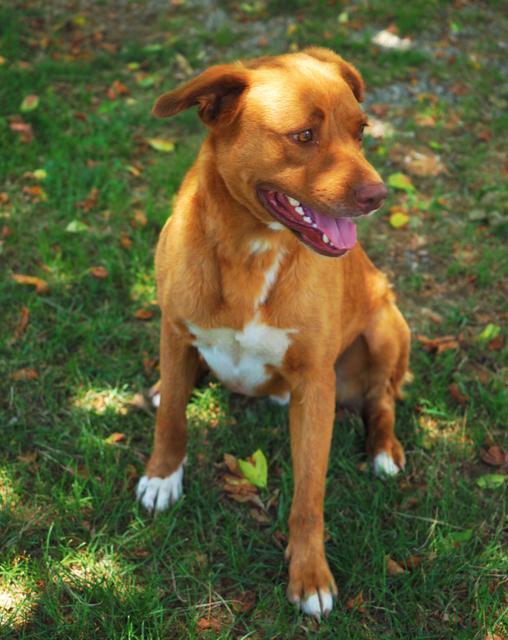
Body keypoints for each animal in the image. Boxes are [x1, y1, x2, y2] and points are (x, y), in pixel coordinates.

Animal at [137, 48, 410, 620]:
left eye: (361, 130)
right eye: (304, 135)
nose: (379, 196)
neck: (250, 247)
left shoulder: (314, 384)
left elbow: (309, 496)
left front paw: (309, 575)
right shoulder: (174, 331)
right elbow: (172, 419)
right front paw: (162, 476)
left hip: (387, 322)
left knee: (383, 397)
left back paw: (383, 450)